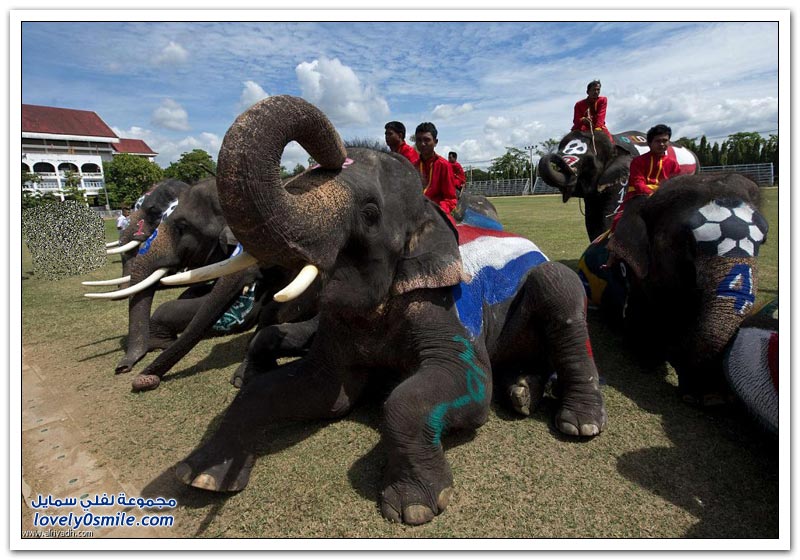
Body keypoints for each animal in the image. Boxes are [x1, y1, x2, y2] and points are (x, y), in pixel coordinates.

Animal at [174, 95, 606, 526]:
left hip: (549, 284)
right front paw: (203, 477)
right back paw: (522, 391)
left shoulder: (447, 306)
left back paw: (578, 422)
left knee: (559, 287)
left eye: (369, 213)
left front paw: (413, 508)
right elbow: (326, 391)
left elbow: (456, 388)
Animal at [538, 130, 699, 240]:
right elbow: (592, 219)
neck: (613, 141)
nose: (555, 156)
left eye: (588, 161)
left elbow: (609, 214)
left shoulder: (624, 177)